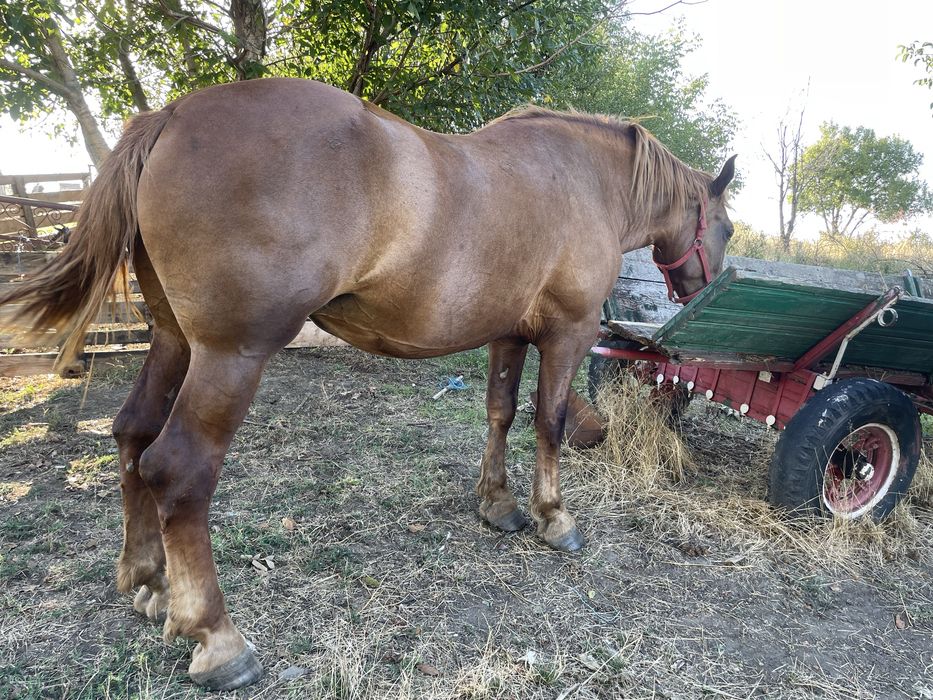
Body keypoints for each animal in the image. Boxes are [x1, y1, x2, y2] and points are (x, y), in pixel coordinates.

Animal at [0, 77, 736, 690]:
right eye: (725, 225)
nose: (699, 289)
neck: (582, 180)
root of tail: (171, 116)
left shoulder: (506, 335)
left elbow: (499, 413)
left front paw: (498, 505)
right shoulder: (568, 334)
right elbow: (547, 423)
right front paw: (555, 518)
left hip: (175, 343)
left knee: (132, 436)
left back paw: (148, 581)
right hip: (229, 355)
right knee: (178, 468)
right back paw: (218, 638)